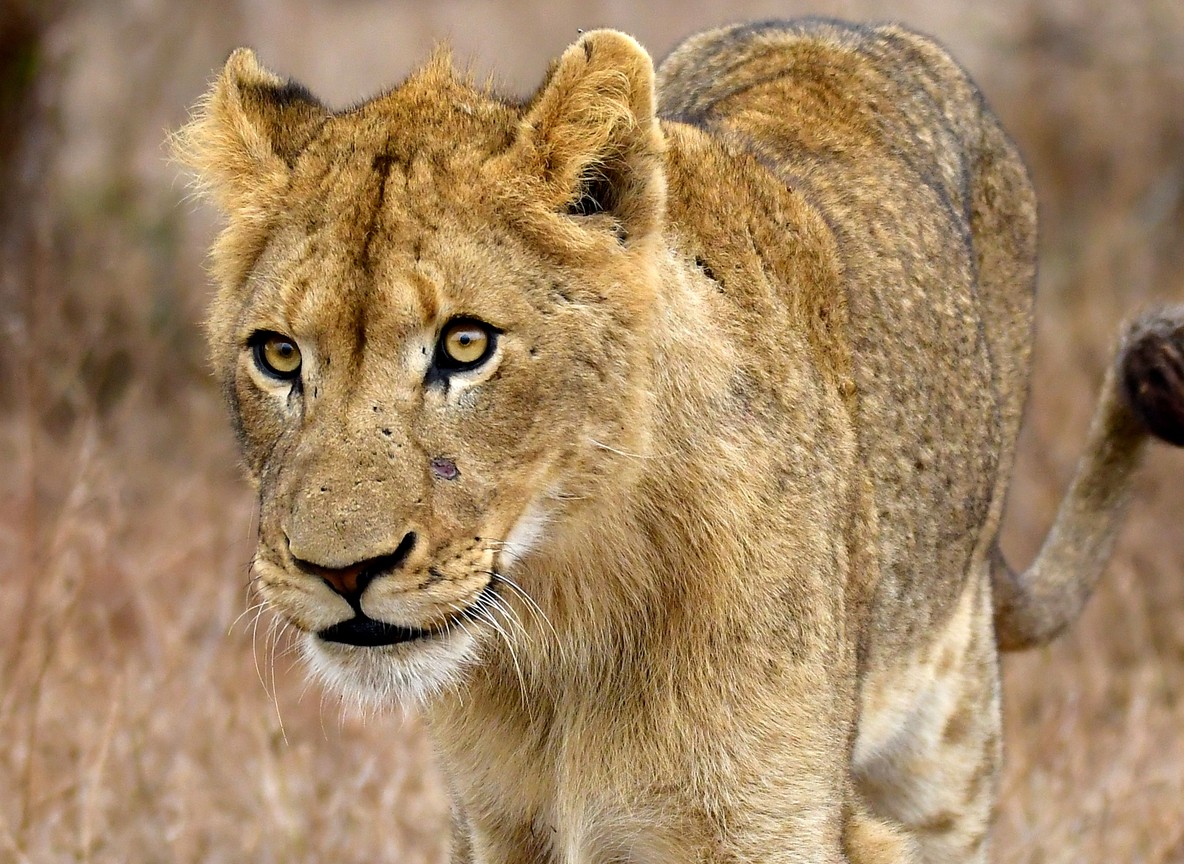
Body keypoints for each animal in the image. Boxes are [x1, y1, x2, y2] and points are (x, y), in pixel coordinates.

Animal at [176, 18, 1184, 863]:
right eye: (278, 355)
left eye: (465, 345)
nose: (341, 571)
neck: (563, 618)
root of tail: (845, 27)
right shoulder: (493, 825)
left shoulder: (771, 825)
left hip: (948, 750)